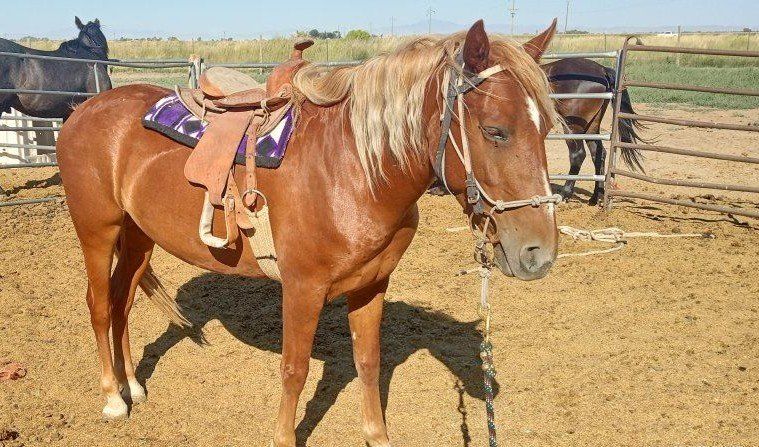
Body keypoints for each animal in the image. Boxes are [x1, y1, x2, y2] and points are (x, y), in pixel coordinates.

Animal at [56, 20, 560, 447]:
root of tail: (84, 110)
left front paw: (376, 434)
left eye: (548, 128)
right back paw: (113, 397)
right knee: (99, 305)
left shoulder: (372, 284)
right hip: (97, 231)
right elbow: (294, 370)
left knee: (121, 301)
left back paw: (133, 385)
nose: (539, 254)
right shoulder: (302, 287)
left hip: (139, 235)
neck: (354, 170)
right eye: (495, 131)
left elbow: (368, 361)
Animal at [542, 57, 647, 205]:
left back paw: (565, 194)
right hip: (591, 126)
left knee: (578, 155)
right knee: (598, 154)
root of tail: (602, 69)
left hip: (572, 126)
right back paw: (595, 197)